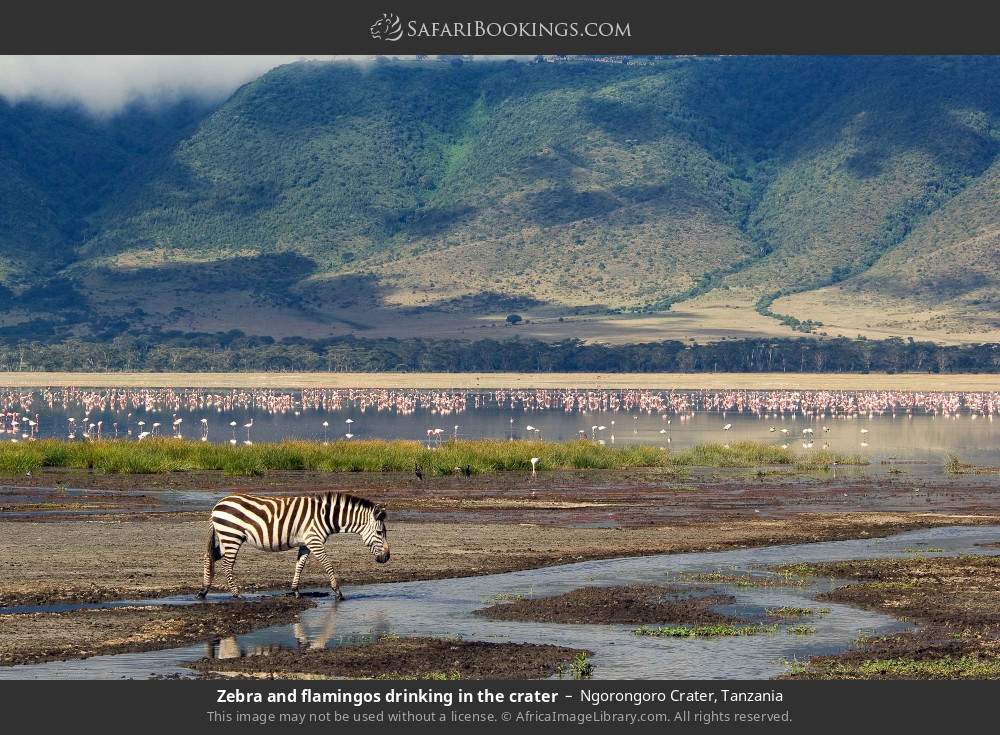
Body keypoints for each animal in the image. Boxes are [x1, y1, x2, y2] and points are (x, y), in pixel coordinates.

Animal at [198, 492, 390, 601]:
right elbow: (328, 565)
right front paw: (338, 592)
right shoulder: (315, 541)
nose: (387, 557)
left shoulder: (306, 543)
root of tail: (217, 505)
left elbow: (300, 566)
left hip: (226, 538)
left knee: (209, 557)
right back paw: (236, 593)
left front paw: (296, 591)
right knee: (227, 565)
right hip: (232, 536)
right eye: (380, 533)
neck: (326, 517)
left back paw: (204, 590)